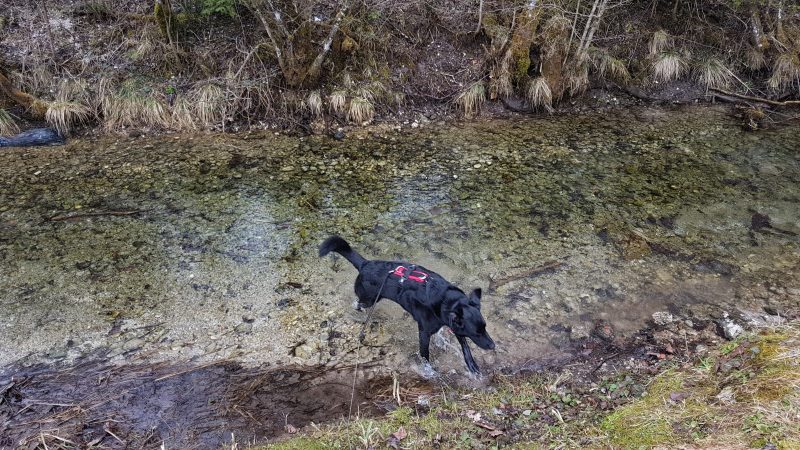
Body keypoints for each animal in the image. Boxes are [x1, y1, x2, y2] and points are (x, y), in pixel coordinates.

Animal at [318, 236, 494, 372]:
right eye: (477, 333)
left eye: (485, 328)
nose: (493, 346)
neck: (446, 300)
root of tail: (365, 264)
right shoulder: (424, 333)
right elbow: (425, 356)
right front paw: (430, 372)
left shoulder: (454, 325)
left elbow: (465, 346)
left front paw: (471, 364)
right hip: (368, 298)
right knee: (358, 303)